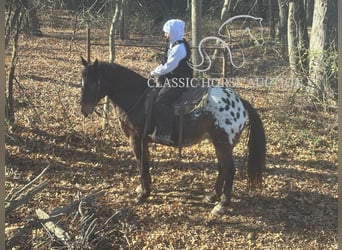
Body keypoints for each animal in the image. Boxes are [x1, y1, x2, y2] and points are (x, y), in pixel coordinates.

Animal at [81, 57, 268, 216]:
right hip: (219, 144)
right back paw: (212, 196)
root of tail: (240, 102)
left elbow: (142, 165)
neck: (136, 97)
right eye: (82, 81)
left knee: (229, 170)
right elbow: (145, 164)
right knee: (222, 168)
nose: (83, 110)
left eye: (93, 82)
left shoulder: (136, 139)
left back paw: (221, 205)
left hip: (223, 144)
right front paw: (143, 190)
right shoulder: (143, 141)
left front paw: (142, 195)